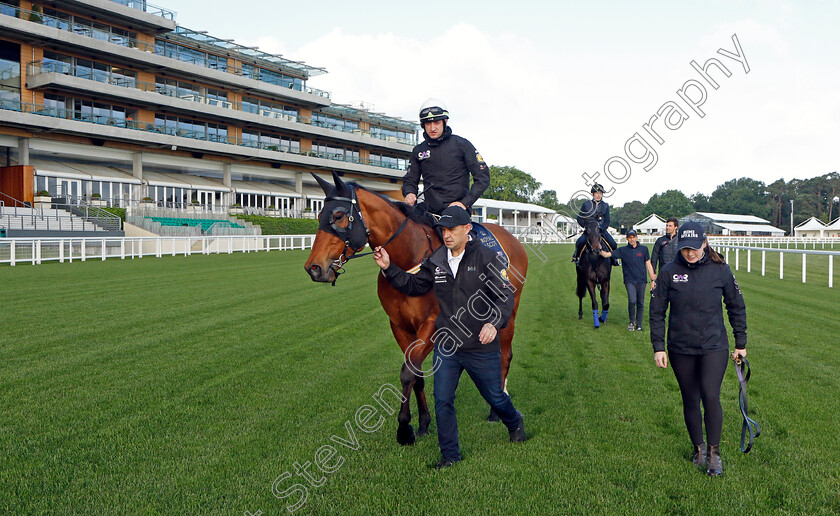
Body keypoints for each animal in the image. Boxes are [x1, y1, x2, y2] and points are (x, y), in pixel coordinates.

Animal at [302, 172, 524, 444]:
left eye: (338, 216)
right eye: (319, 215)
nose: (313, 268)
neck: (409, 257)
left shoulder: (433, 326)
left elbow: (408, 372)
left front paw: (404, 428)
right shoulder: (399, 326)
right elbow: (415, 373)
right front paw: (423, 423)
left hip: (507, 316)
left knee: (504, 355)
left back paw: (496, 409)